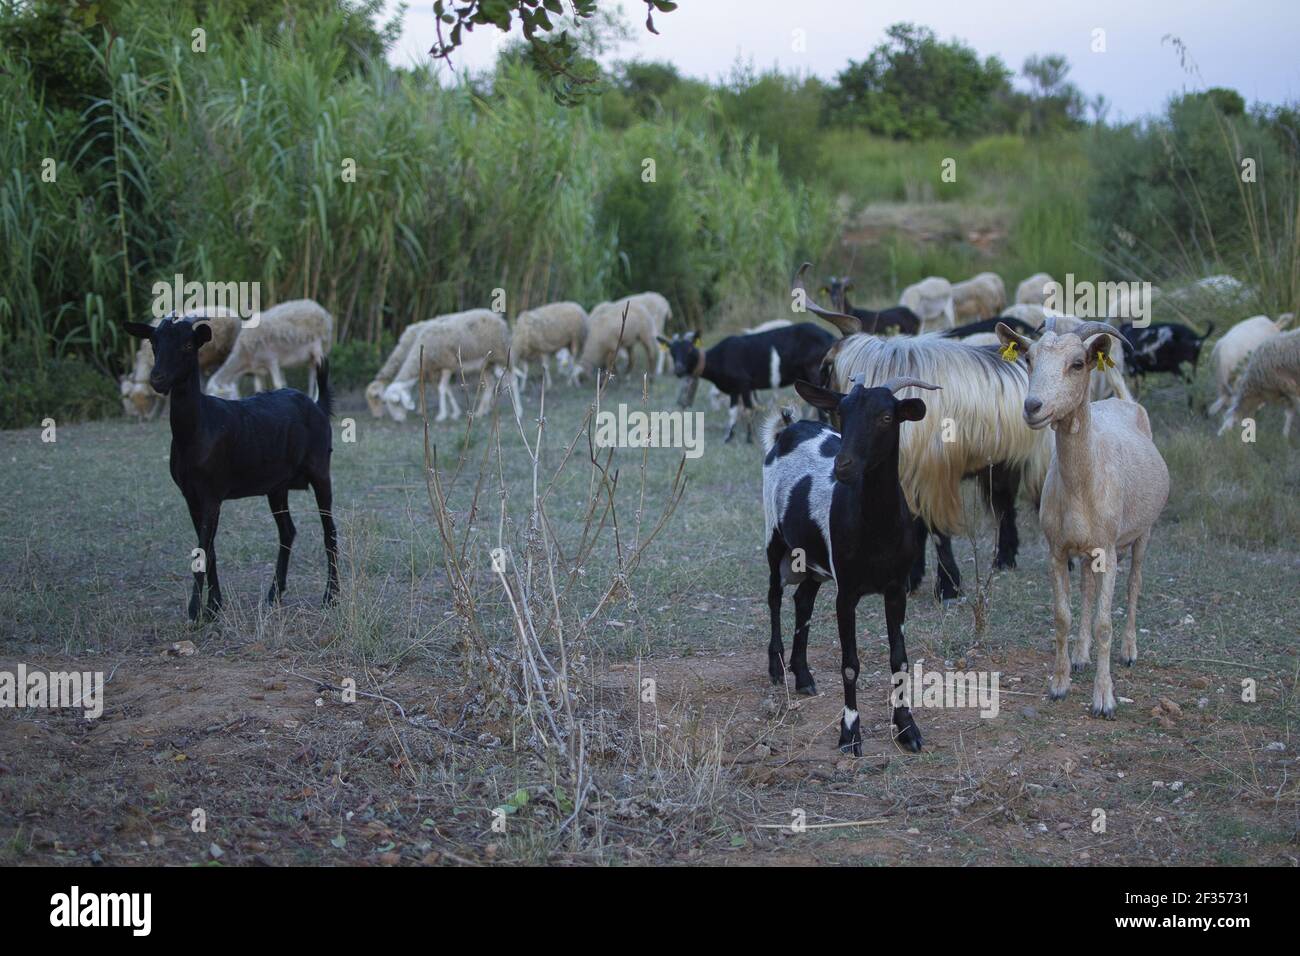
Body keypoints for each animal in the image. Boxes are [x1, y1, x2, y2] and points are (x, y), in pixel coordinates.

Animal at [123, 316, 338, 621]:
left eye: (188, 344)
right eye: (154, 342)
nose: (158, 379)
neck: (198, 429)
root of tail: (318, 405)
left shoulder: (213, 492)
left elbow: (203, 547)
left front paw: (194, 612)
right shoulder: (191, 495)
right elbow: (209, 549)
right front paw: (213, 606)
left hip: (320, 470)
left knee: (329, 530)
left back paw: (331, 596)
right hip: (277, 486)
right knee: (287, 530)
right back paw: (274, 594)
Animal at [382, 309, 519, 423]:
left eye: (396, 403)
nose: (398, 420)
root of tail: (499, 318)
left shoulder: (447, 364)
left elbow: (442, 389)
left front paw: (442, 415)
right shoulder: (437, 368)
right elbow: (446, 389)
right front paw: (454, 413)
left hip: (503, 355)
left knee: (513, 380)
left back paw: (518, 412)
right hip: (487, 363)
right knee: (491, 385)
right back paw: (481, 412)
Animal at [661, 322, 835, 443]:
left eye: (690, 350)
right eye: (672, 352)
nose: (679, 370)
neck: (719, 358)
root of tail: (830, 337)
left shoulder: (744, 384)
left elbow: (748, 410)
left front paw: (749, 439)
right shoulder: (734, 389)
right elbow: (732, 411)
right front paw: (728, 437)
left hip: (814, 371)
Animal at [762, 375, 940, 754]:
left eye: (886, 417)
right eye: (841, 413)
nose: (842, 466)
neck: (876, 527)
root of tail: (788, 429)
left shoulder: (896, 588)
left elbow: (899, 658)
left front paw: (908, 729)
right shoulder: (847, 592)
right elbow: (849, 664)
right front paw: (849, 734)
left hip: (813, 557)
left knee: (803, 600)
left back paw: (803, 675)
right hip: (775, 536)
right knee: (774, 596)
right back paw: (776, 667)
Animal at [996, 320, 1169, 718]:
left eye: (1077, 363)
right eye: (1028, 358)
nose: (1033, 406)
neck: (1081, 486)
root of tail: (1124, 401)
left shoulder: (1109, 548)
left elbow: (1106, 623)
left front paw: (1104, 698)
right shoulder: (1057, 550)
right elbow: (1063, 615)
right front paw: (1059, 684)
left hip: (1143, 533)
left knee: (1134, 584)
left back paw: (1128, 652)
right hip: (1090, 549)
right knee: (1089, 588)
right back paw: (1080, 655)